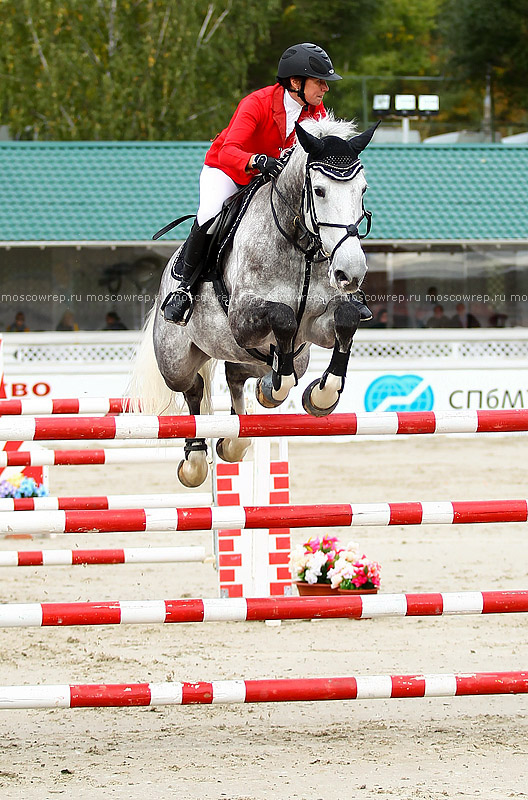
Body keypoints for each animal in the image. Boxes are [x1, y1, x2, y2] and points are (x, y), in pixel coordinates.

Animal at [131, 112, 380, 488]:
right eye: (319, 191)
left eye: (362, 189)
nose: (350, 272)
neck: (300, 246)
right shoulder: (243, 319)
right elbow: (283, 318)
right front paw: (281, 386)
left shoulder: (317, 326)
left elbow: (345, 318)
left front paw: (322, 394)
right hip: (176, 361)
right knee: (193, 389)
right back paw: (195, 460)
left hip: (271, 357)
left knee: (237, 375)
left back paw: (238, 434)